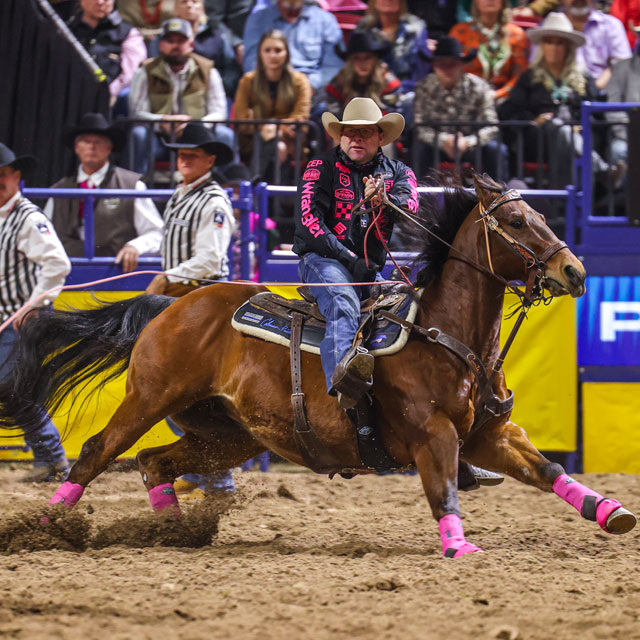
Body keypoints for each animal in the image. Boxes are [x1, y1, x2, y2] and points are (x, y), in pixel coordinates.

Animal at [1, 174, 636, 556]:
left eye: (541, 216)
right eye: (520, 223)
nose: (576, 271)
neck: (446, 336)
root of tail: (173, 303)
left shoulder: (490, 435)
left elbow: (548, 471)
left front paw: (611, 513)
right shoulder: (432, 435)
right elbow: (442, 493)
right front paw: (459, 546)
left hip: (229, 432)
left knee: (155, 462)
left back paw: (171, 531)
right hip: (149, 399)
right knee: (96, 453)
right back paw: (40, 530)